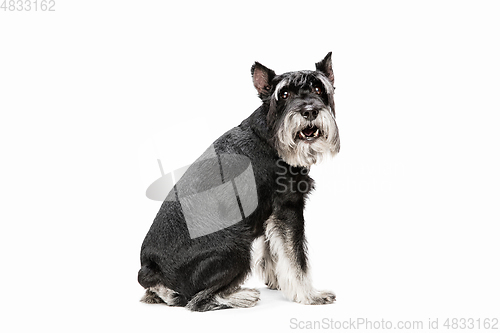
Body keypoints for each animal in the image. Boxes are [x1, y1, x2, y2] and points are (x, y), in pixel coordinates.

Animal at [138, 52, 340, 312]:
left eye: (318, 88)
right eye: (284, 94)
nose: (309, 111)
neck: (270, 137)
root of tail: (151, 268)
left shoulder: (271, 213)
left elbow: (274, 249)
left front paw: (277, 281)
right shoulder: (289, 207)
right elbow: (296, 258)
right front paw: (309, 295)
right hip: (236, 247)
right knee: (196, 301)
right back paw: (242, 296)